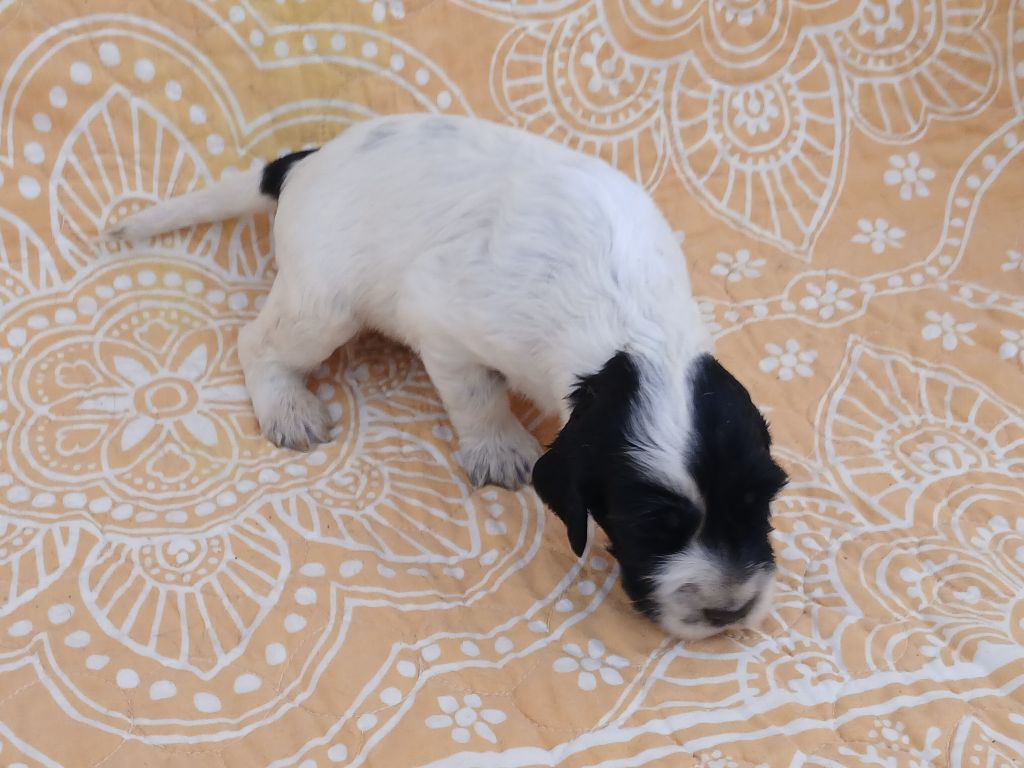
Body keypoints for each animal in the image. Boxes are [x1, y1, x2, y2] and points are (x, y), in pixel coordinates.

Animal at [106, 114, 787, 640]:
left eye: (760, 505)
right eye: (653, 527)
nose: (729, 611)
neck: (638, 332)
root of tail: (308, 160)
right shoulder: (443, 321)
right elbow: (478, 395)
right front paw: (498, 447)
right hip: (323, 305)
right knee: (258, 344)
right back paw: (288, 407)